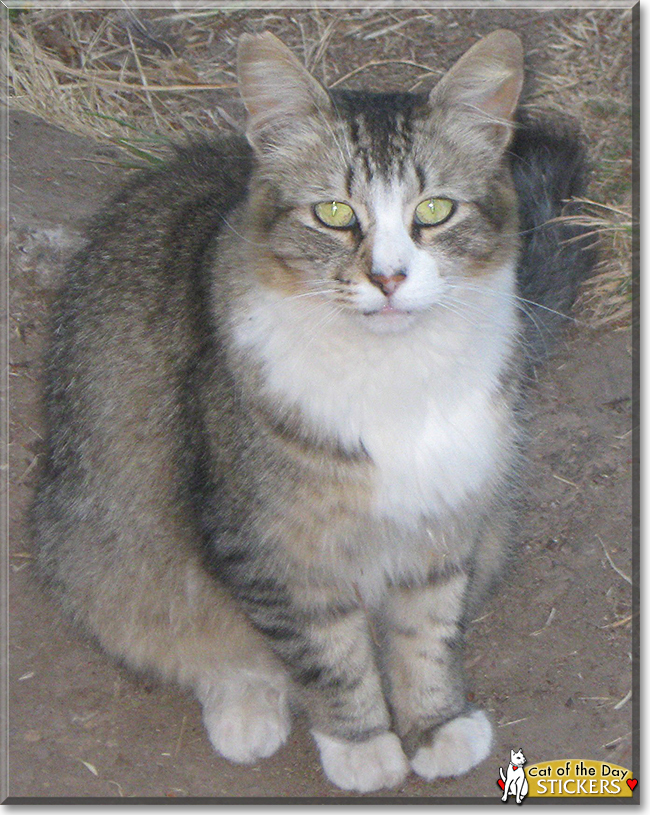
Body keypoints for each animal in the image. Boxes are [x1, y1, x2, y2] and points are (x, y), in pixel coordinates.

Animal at [33, 28, 596, 792]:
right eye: (334, 213)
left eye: (433, 211)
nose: (388, 278)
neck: (394, 377)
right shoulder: (271, 545)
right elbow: (329, 655)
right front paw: (363, 746)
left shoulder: (443, 523)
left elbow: (425, 638)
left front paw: (436, 725)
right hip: (105, 550)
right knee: (204, 645)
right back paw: (247, 711)